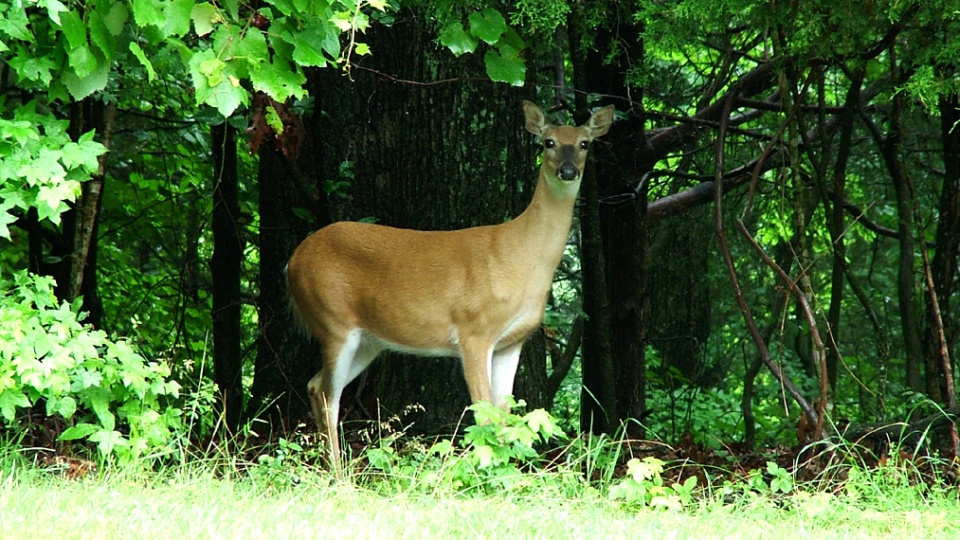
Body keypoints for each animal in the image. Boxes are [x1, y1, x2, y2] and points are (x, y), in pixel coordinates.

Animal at [286, 101, 616, 468]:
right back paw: (340, 473)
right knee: (328, 395)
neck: (520, 258)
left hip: (368, 340)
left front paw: (505, 474)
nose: (568, 171)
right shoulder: (473, 330)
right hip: (332, 318)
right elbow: (484, 414)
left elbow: (503, 414)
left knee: (315, 384)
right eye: (549, 142)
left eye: (585, 143)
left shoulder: (512, 341)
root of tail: (293, 261)